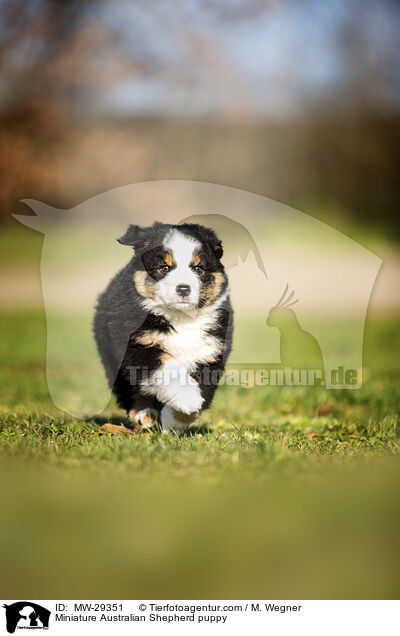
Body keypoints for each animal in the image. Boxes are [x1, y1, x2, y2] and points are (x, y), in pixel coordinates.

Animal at [94, 221, 233, 434]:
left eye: (198, 268)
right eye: (164, 267)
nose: (183, 289)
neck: (181, 317)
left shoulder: (211, 352)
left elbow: (203, 393)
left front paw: (176, 419)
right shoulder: (137, 346)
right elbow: (169, 369)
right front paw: (187, 398)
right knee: (131, 390)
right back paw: (145, 415)